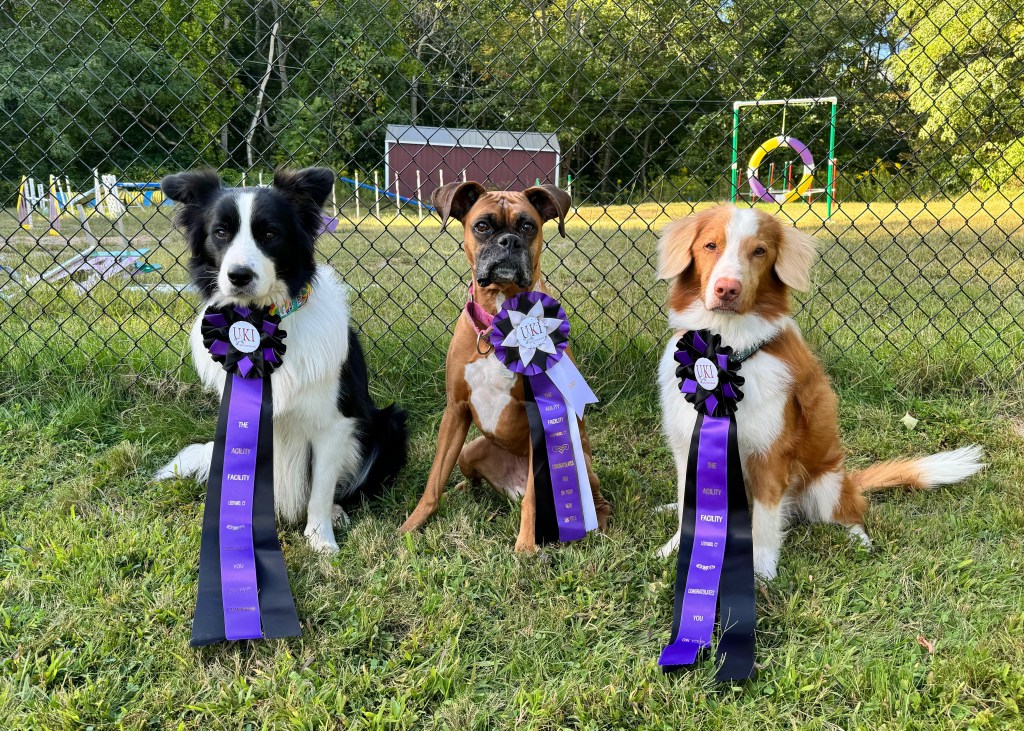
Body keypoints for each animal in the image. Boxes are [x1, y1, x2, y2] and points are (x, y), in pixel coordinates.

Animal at [154, 167, 408, 554]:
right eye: (221, 232)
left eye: (270, 234)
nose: (239, 276)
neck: (263, 321)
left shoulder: (334, 425)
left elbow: (320, 490)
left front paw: (321, 540)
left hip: (389, 425)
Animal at [398, 181, 611, 552]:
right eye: (482, 225)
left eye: (528, 226)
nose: (509, 241)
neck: (502, 320)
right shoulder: (455, 410)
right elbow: (433, 481)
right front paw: (411, 526)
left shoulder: (539, 419)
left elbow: (533, 501)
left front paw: (525, 548)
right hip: (469, 451)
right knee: (469, 479)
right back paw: (463, 490)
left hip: (581, 461)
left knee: (580, 498)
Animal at [655, 204, 984, 579]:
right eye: (710, 245)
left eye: (759, 251)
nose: (727, 289)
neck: (728, 349)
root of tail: (848, 480)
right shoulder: (687, 447)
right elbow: (689, 504)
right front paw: (676, 546)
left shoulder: (771, 454)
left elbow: (765, 522)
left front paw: (761, 569)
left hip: (826, 484)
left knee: (851, 512)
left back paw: (860, 541)